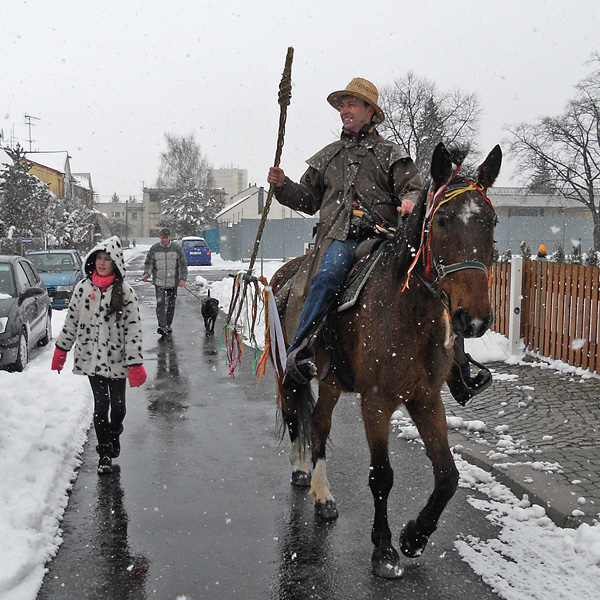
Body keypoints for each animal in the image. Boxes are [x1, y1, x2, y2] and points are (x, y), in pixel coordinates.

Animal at [270, 143, 500, 580]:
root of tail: (285, 275)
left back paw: (323, 496)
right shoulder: (376, 402)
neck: (408, 310)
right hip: (288, 375)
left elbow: (447, 475)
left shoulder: (426, 399)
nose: (473, 319)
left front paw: (414, 536)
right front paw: (384, 549)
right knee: (294, 418)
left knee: (320, 425)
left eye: (491, 221)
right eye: (442, 220)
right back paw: (300, 470)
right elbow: (382, 476)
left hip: (331, 382)